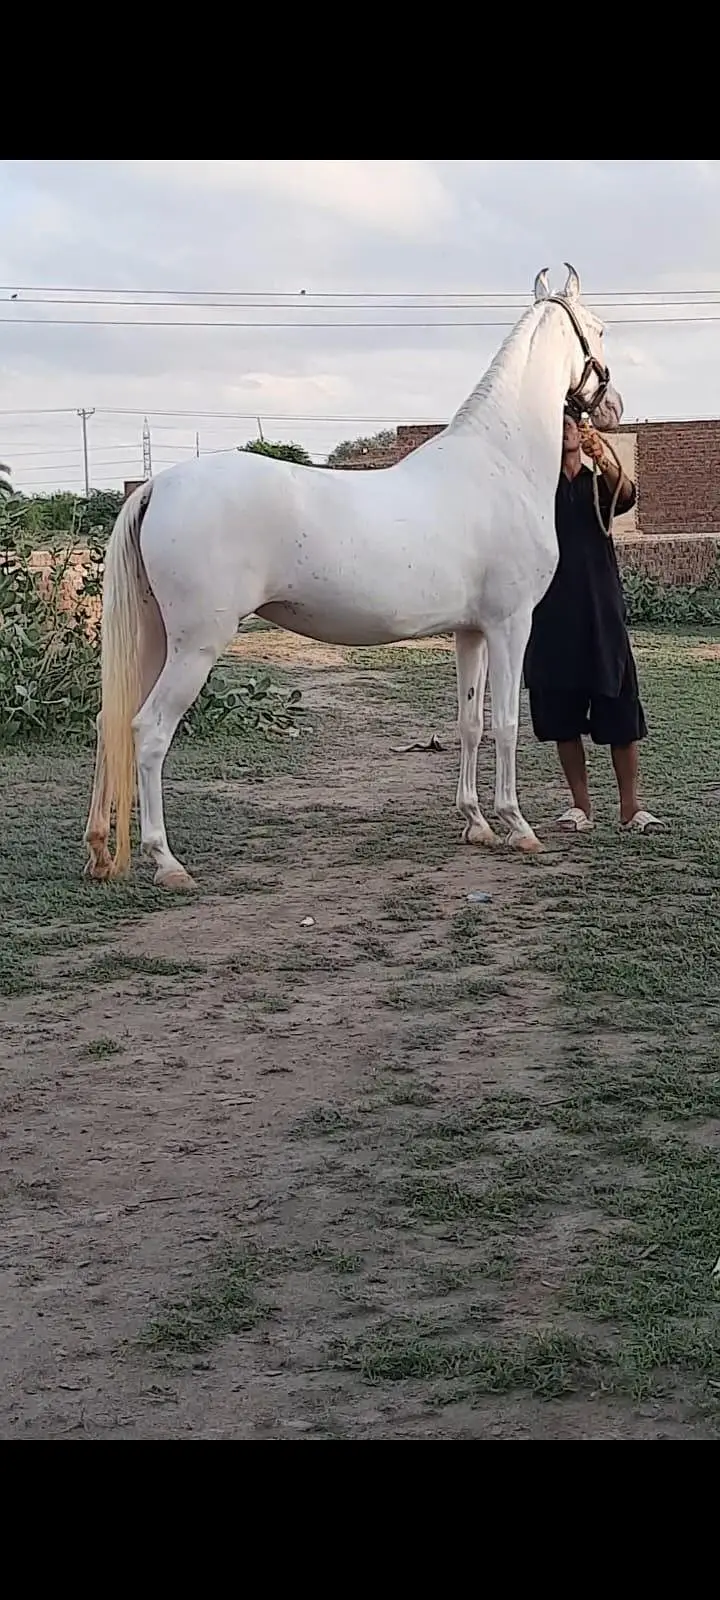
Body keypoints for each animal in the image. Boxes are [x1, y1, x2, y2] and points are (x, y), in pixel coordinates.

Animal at [84, 263, 624, 890]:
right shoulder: (510, 626)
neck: (499, 462)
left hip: (152, 639)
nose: (613, 408)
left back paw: (100, 852)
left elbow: (469, 722)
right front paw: (517, 826)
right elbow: (508, 722)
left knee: (110, 720)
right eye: (600, 329)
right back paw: (166, 861)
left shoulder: (470, 631)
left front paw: (476, 823)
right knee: (148, 731)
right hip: (195, 646)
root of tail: (157, 484)